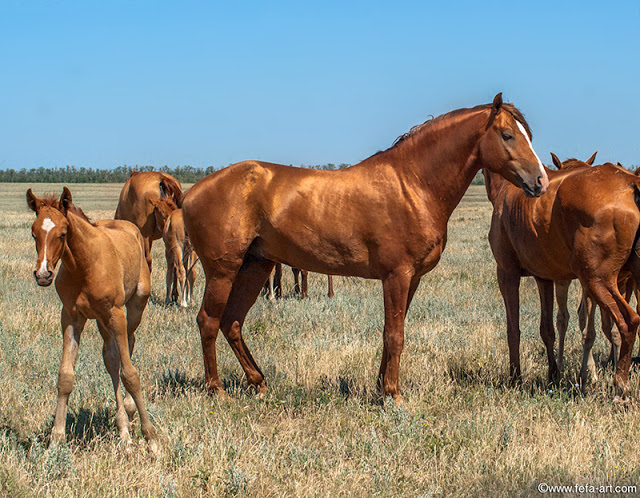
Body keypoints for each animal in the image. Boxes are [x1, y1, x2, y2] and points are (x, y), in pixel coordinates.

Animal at [27, 187, 159, 452]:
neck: (84, 264)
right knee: (111, 358)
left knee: (129, 344)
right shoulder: (70, 317)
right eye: (34, 233)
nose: (43, 275)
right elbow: (66, 376)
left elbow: (131, 374)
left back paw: (129, 412)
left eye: (63, 233)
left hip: (134, 307)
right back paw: (123, 429)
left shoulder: (116, 314)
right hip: (101, 320)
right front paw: (56, 440)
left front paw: (151, 438)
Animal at [182, 94, 548, 404]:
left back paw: (258, 382)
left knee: (232, 322)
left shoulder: (410, 278)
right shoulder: (397, 275)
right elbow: (395, 335)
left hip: (255, 266)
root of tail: (191, 193)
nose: (541, 182)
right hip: (223, 271)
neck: (413, 184)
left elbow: (392, 331)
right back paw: (216, 390)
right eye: (507, 135)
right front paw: (394, 395)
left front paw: (380, 387)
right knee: (208, 321)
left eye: (527, 134)